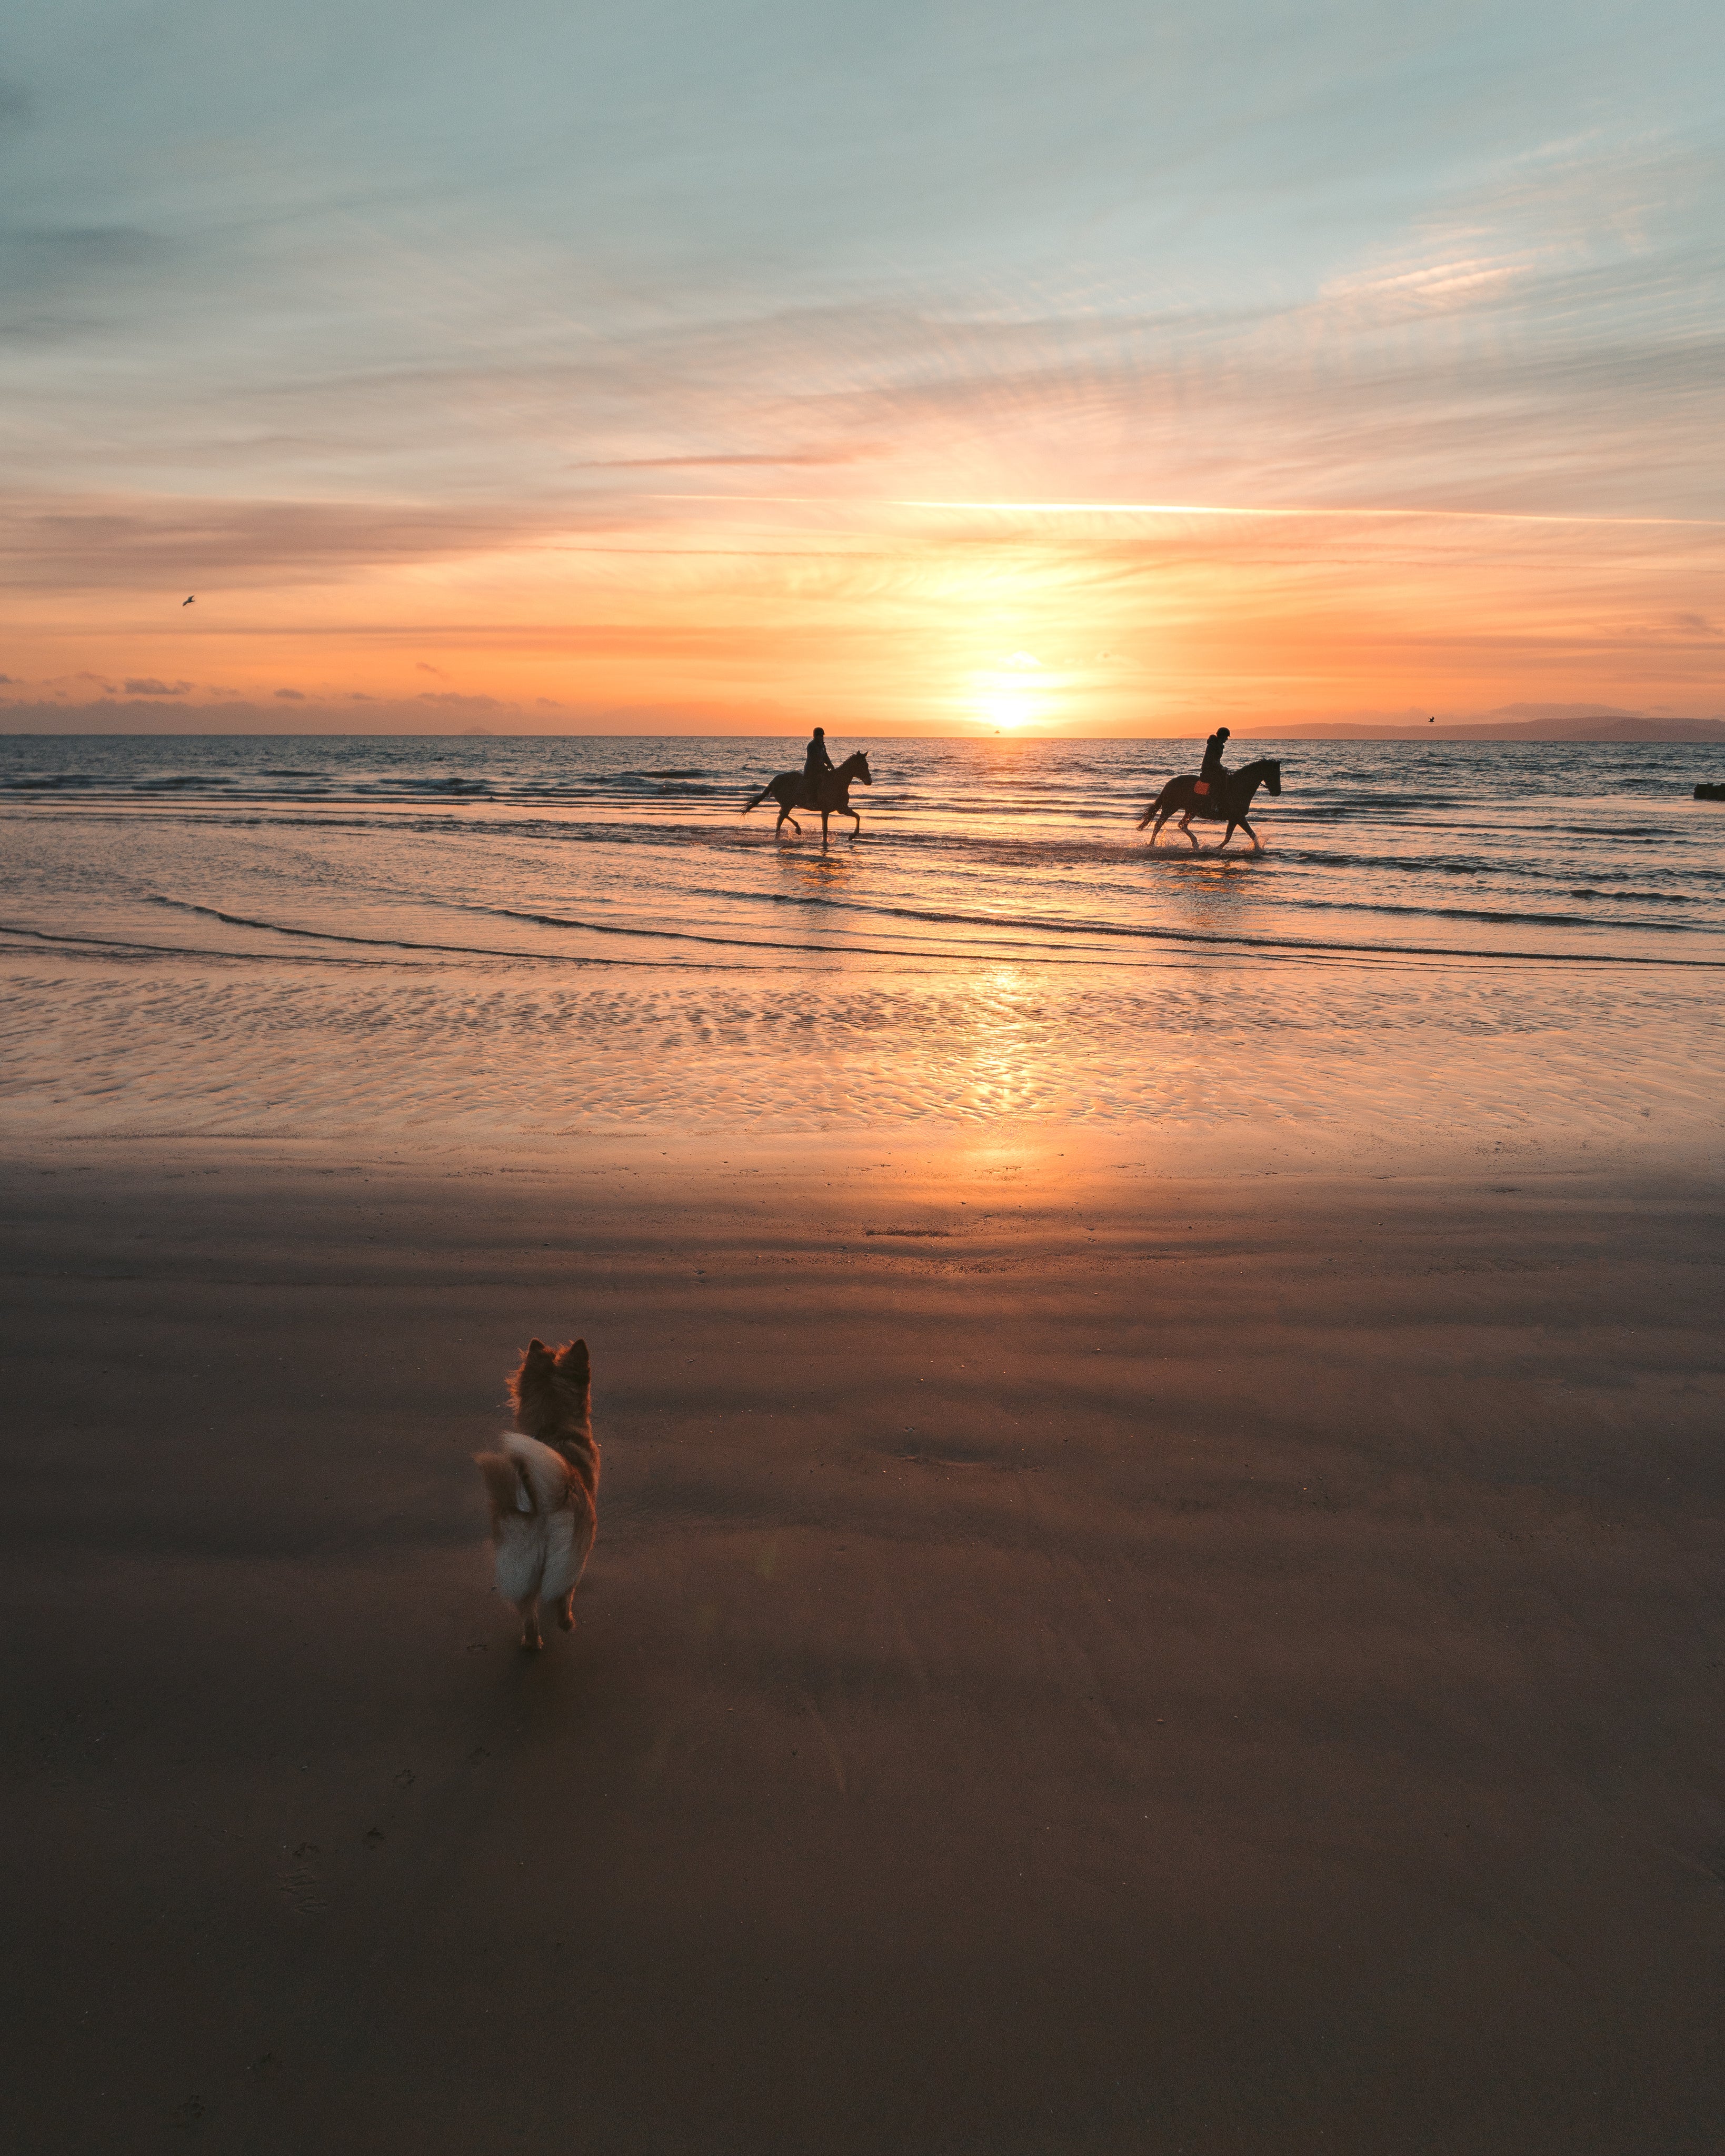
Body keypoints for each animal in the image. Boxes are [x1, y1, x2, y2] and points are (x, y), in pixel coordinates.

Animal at [478, 1328, 599, 1647]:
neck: (552, 1428)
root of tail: (543, 1501)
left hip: (521, 1562)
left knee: (528, 1609)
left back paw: (531, 1644)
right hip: (573, 1552)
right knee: (563, 1593)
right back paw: (566, 1623)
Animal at [746, 754, 875, 845]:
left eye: (867, 765)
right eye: (863, 766)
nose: (869, 781)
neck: (838, 782)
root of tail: (774, 781)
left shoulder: (842, 808)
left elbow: (857, 816)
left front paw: (852, 836)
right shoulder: (826, 811)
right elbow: (825, 829)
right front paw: (825, 843)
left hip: (789, 804)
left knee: (781, 817)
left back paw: (785, 834)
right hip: (788, 804)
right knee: (781, 816)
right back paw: (796, 830)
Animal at [1130, 758, 1276, 849]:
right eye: (1273, 774)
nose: (1277, 792)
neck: (1239, 787)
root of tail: (1169, 784)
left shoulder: (1235, 818)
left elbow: (1233, 836)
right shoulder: (1238, 817)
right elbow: (1248, 834)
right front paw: (1258, 849)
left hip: (1190, 811)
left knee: (1181, 824)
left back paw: (1195, 844)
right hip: (1170, 808)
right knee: (1158, 825)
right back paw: (1151, 845)